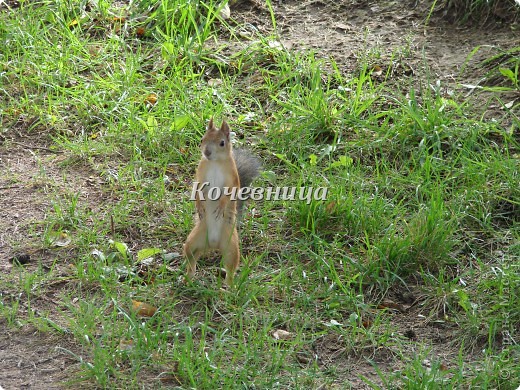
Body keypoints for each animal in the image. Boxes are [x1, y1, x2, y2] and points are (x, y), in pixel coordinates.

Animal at [184, 119, 264, 286]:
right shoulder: (200, 176)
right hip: (193, 242)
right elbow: (196, 189)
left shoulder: (232, 179)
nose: (207, 153)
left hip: (231, 247)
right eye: (202, 139)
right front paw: (199, 206)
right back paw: (188, 278)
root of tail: (213, 243)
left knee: (230, 269)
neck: (215, 163)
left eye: (222, 143)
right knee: (191, 259)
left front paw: (221, 206)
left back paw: (230, 286)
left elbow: (229, 193)